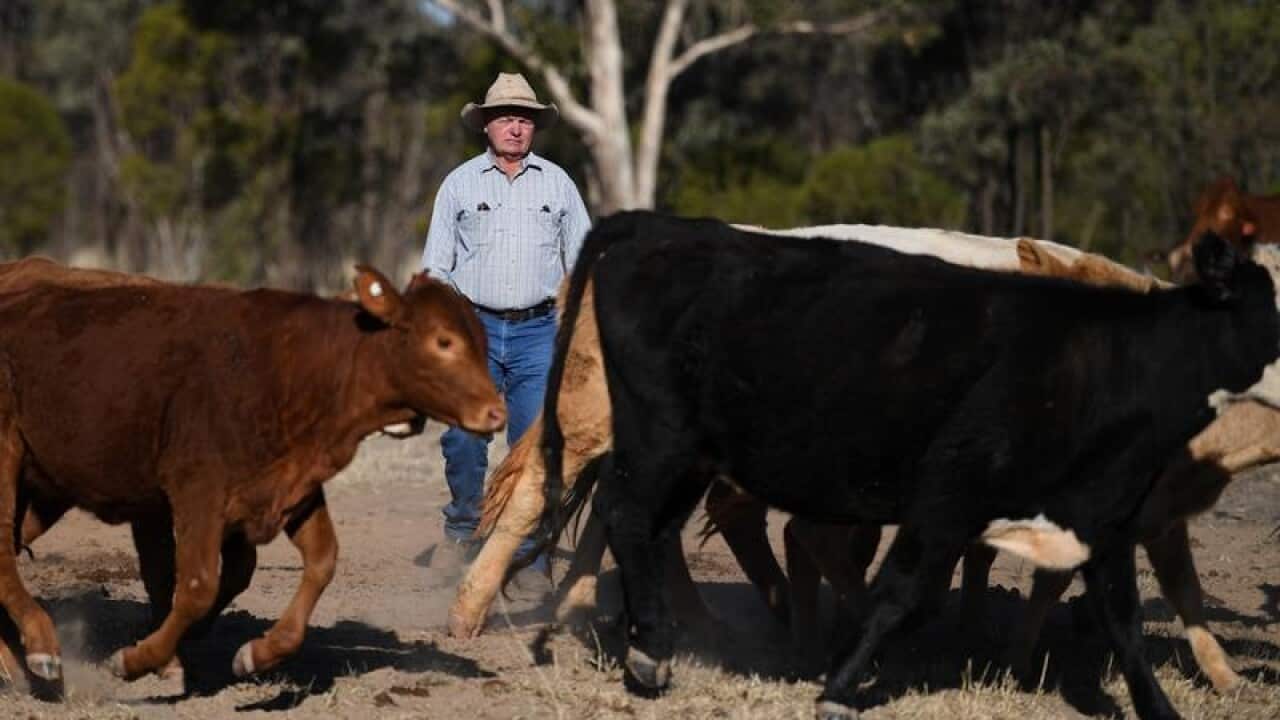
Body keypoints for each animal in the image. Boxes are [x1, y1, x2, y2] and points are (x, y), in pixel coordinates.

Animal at [0, 264, 505, 696]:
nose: (496, 412)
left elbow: (322, 561)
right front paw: (135, 660)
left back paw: (16, 666)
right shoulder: (198, 493)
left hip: (42, 488)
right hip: (8, 461)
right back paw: (41, 650)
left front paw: (257, 654)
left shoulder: (291, 488)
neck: (294, 369)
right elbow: (198, 587)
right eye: (443, 341)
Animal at [530, 211, 1276, 720]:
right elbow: (902, 591)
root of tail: (658, 226)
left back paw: (655, 642)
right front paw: (839, 687)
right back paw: (652, 648)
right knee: (627, 517)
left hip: (689, 456)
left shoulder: (1104, 513)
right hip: (661, 439)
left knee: (654, 530)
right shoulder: (948, 497)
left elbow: (1124, 617)